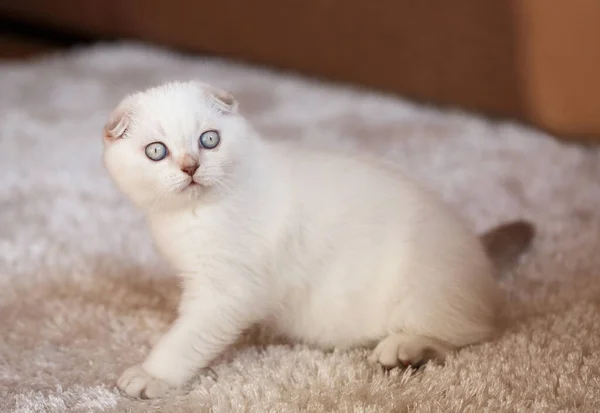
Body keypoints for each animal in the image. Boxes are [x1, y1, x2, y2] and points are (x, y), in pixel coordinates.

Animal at [102, 79, 536, 398]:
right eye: (157, 152)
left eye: (209, 140)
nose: (190, 167)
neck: (192, 216)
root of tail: (479, 251)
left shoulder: (225, 292)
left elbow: (184, 339)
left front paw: (150, 375)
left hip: (423, 290)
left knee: (472, 334)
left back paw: (403, 351)